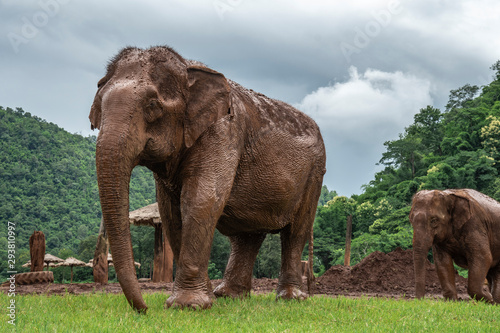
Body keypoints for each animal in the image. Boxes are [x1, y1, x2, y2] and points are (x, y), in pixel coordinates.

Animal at [88, 45, 326, 310]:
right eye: (100, 105)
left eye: (152, 105)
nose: (145, 309)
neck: (187, 68)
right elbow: (170, 212)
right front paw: (202, 300)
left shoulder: (223, 132)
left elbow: (201, 200)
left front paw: (187, 306)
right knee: (247, 236)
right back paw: (229, 296)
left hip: (314, 174)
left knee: (295, 231)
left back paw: (291, 298)